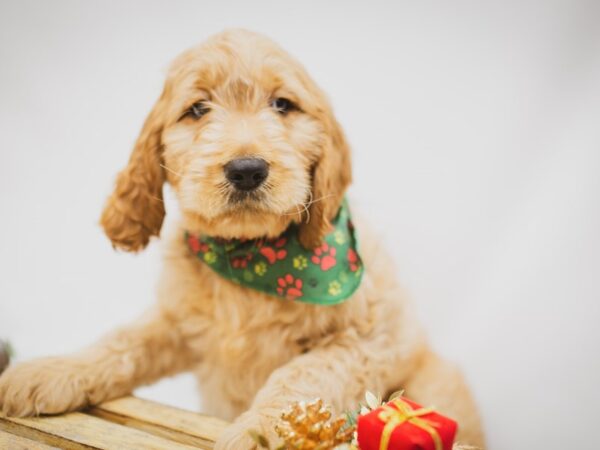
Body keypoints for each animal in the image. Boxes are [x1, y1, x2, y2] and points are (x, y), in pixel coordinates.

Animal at [0, 29, 486, 448]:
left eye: (282, 104)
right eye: (198, 109)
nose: (247, 169)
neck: (251, 256)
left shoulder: (369, 340)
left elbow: (302, 376)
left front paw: (262, 431)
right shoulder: (176, 321)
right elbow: (120, 342)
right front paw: (47, 371)